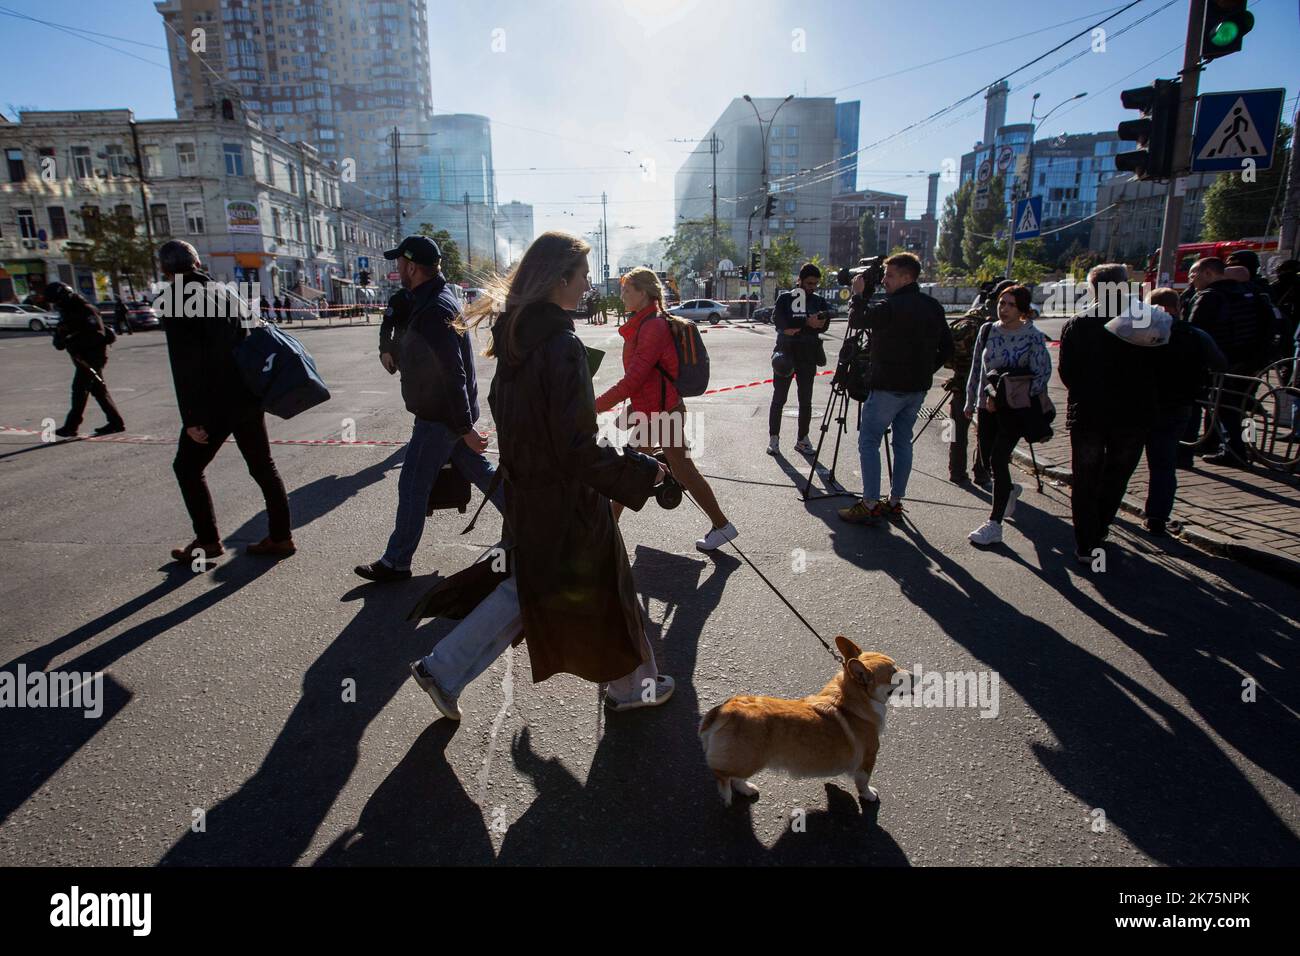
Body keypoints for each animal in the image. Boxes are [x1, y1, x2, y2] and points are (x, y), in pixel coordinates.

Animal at [702, 639, 904, 806]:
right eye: (894, 673)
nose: (912, 672)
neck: (853, 699)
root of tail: (726, 710)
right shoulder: (868, 758)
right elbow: (863, 781)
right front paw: (869, 795)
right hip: (749, 759)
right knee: (722, 774)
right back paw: (726, 794)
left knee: (735, 777)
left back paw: (746, 788)